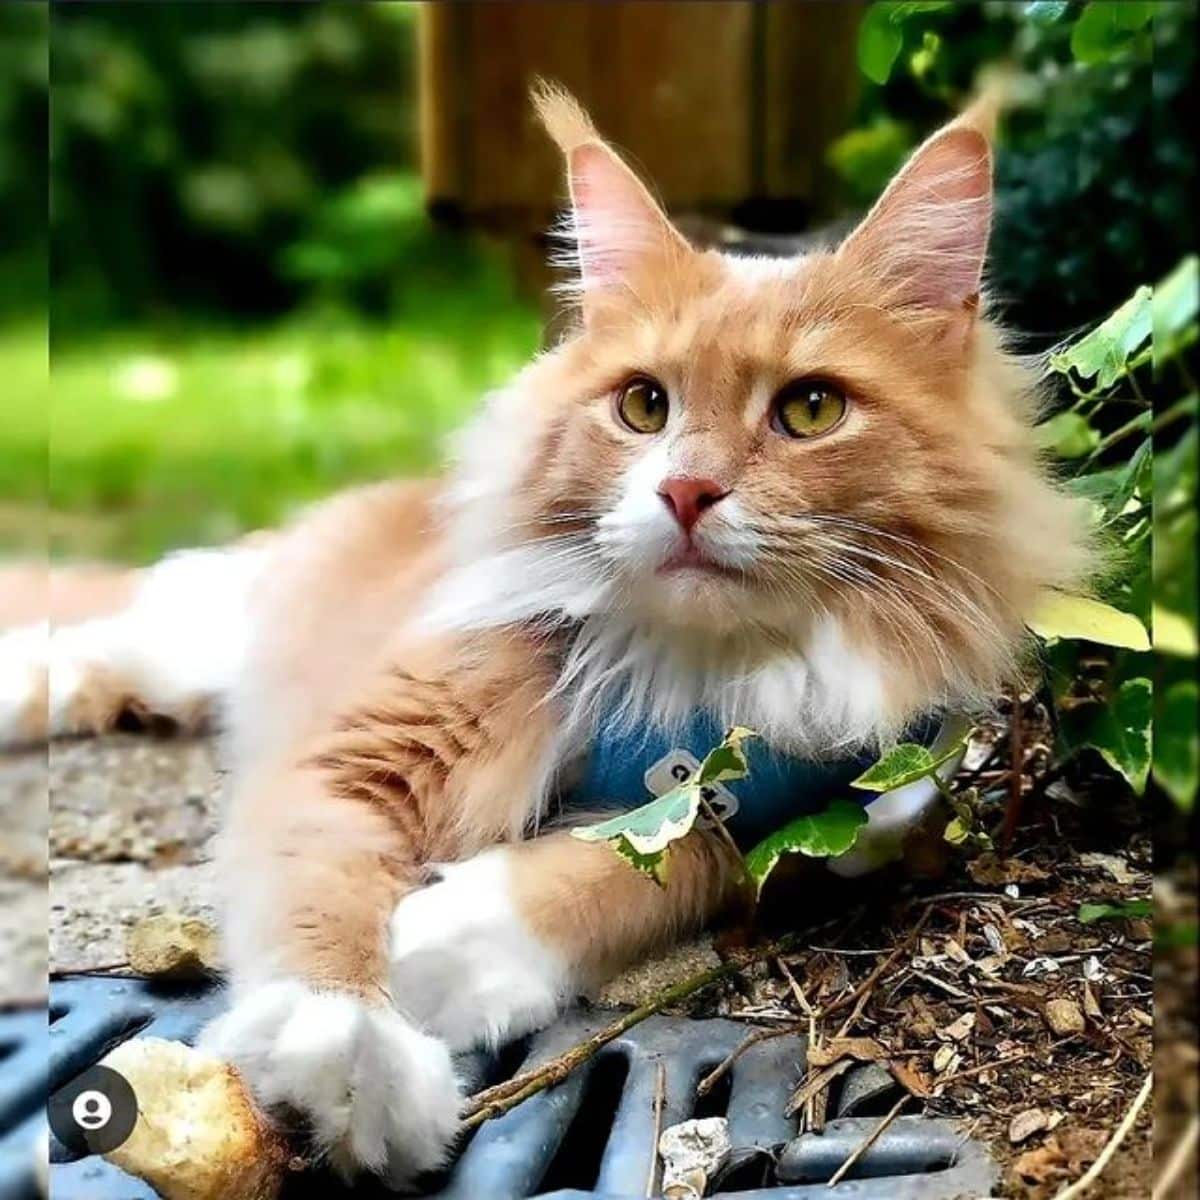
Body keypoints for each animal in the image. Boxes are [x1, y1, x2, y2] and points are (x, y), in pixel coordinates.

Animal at [0, 88, 1094, 1185]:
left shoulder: (834, 816)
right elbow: (325, 904)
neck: (694, 675)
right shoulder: (361, 755)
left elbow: (662, 859)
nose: (685, 491)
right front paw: (354, 1056)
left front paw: (446, 947)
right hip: (209, 622)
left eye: (811, 408)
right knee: (101, 631)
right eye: (645, 404)